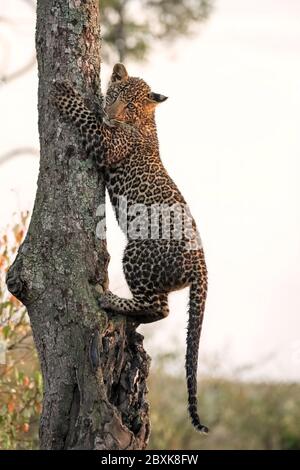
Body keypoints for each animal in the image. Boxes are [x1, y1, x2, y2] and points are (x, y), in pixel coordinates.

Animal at [51, 63, 209, 434]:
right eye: (113, 96)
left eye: (130, 107)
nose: (112, 115)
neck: (147, 122)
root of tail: (201, 264)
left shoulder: (107, 145)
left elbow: (87, 119)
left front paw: (66, 93)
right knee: (158, 308)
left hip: (137, 252)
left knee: (159, 308)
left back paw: (110, 299)